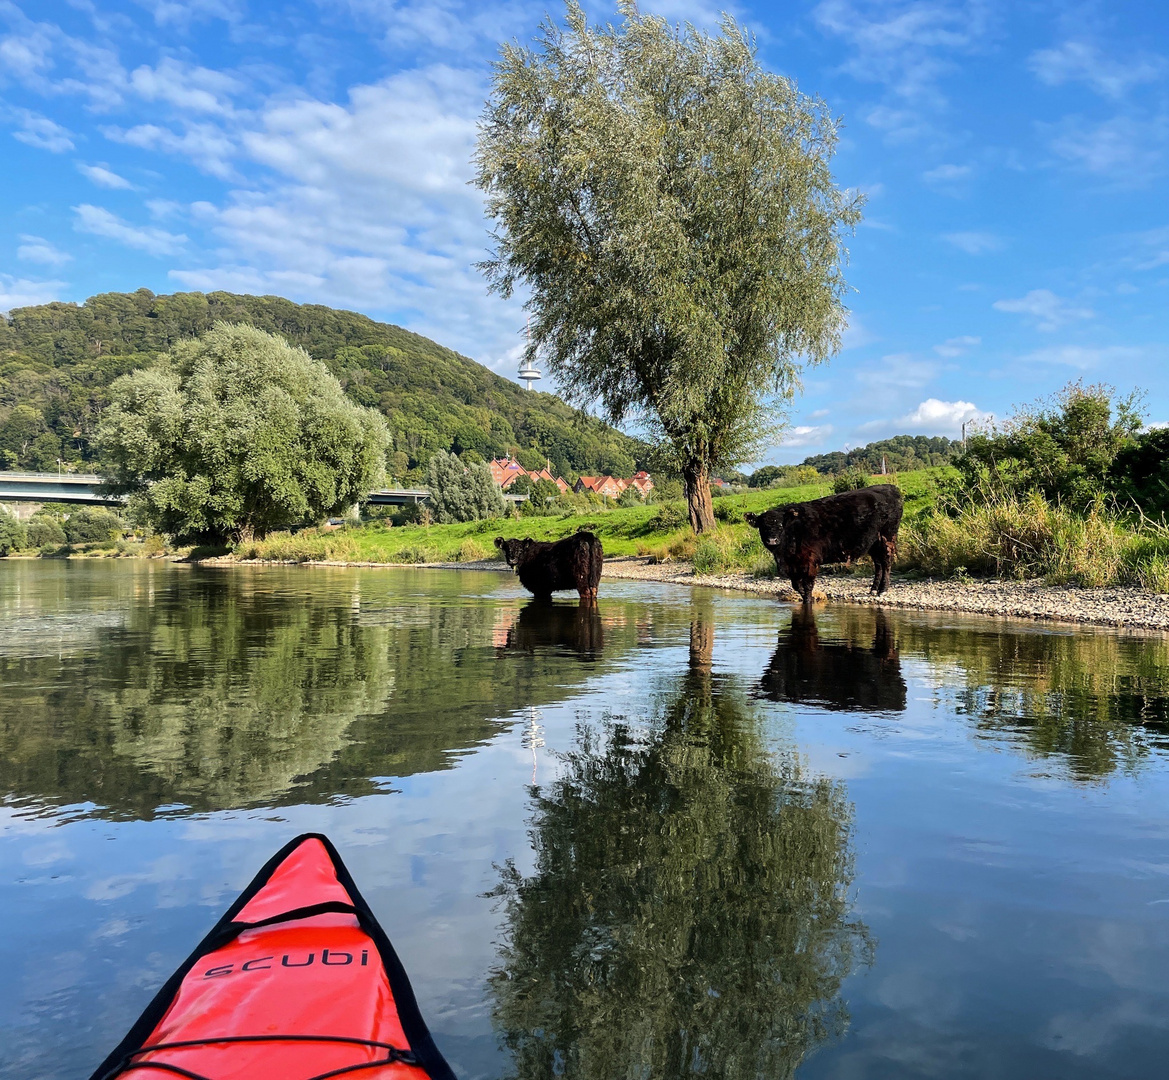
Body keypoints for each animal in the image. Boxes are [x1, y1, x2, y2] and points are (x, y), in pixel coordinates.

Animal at [748, 486, 902, 603]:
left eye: (780, 525)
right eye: (763, 527)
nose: (772, 540)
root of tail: (890, 487)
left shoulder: (810, 561)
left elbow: (807, 586)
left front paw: (808, 601)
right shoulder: (793, 567)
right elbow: (797, 586)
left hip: (887, 537)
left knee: (886, 562)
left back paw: (883, 590)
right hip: (873, 543)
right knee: (878, 564)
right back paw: (874, 589)